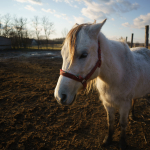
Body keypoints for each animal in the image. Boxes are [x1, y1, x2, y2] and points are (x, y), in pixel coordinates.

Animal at [54, 19, 150, 149]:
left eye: (84, 54)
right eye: (62, 54)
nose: (59, 96)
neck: (117, 76)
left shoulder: (124, 105)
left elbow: (123, 123)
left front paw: (122, 143)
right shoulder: (108, 103)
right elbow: (110, 122)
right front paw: (108, 140)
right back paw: (133, 115)